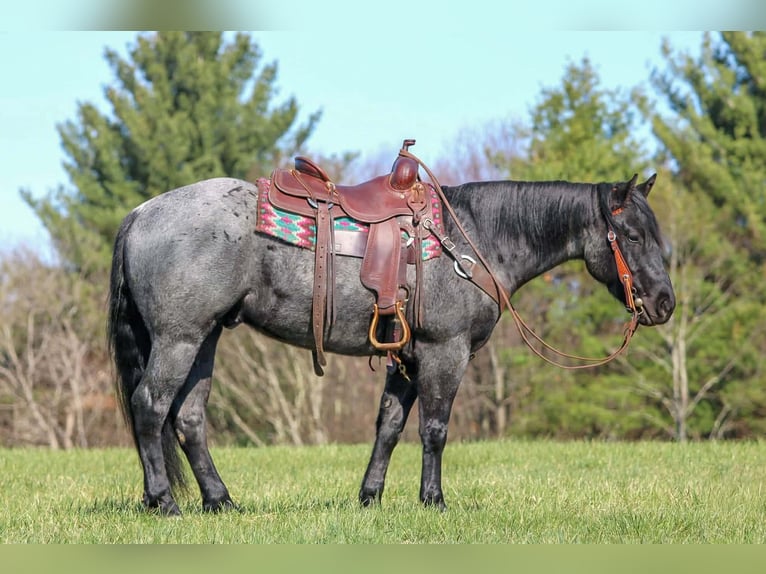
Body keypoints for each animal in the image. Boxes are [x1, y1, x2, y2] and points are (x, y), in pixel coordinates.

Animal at [107, 168, 675, 515]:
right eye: (634, 237)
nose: (665, 303)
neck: (472, 240)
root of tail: (141, 213)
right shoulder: (446, 352)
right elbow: (434, 430)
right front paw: (434, 500)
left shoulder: (406, 357)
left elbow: (389, 427)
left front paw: (370, 497)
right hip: (179, 339)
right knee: (151, 407)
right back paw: (164, 501)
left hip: (203, 340)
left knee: (189, 418)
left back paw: (220, 501)